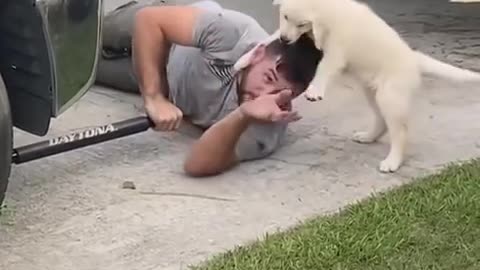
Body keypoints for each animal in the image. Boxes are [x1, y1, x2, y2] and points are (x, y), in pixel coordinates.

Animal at [274, 0, 480, 173]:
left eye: (301, 24)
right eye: (285, 17)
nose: (284, 39)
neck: (331, 10)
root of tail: (414, 60)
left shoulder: (337, 50)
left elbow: (325, 68)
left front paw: (314, 91)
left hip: (390, 94)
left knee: (399, 131)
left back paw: (392, 162)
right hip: (373, 91)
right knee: (382, 119)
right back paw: (369, 136)